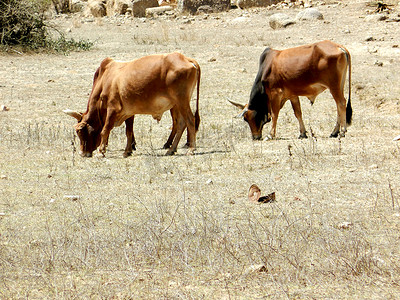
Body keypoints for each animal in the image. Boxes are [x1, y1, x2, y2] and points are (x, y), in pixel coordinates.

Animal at [65, 52, 200, 158]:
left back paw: (191, 149)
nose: (82, 153)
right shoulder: (128, 112)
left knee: (190, 120)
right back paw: (171, 149)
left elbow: (105, 129)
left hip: (181, 101)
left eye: (80, 132)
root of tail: (186, 59)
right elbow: (129, 131)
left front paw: (101, 152)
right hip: (177, 104)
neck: (105, 81)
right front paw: (127, 151)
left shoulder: (112, 109)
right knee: (181, 123)